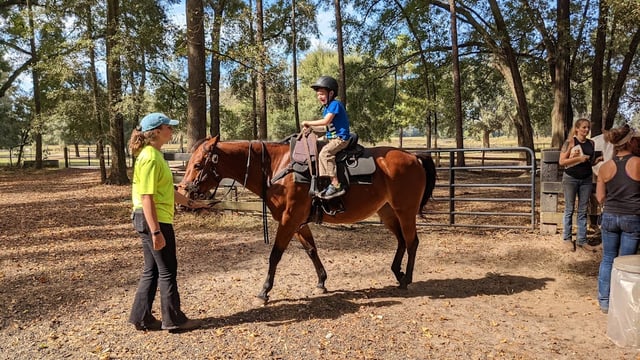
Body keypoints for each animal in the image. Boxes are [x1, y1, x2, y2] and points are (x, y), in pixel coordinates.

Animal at [180, 135, 438, 304]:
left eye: (198, 164)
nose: (184, 190)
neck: (278, 168)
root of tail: (414, 156)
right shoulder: (298, 223)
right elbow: (311, 250)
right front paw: (322, 281)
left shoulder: (289, 220)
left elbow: (275, 255)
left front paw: (264, 291)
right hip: (387, 212)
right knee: (402, 241)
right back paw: (398, 273)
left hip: (405, 211)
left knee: (412, 242)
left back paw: (407, 279)